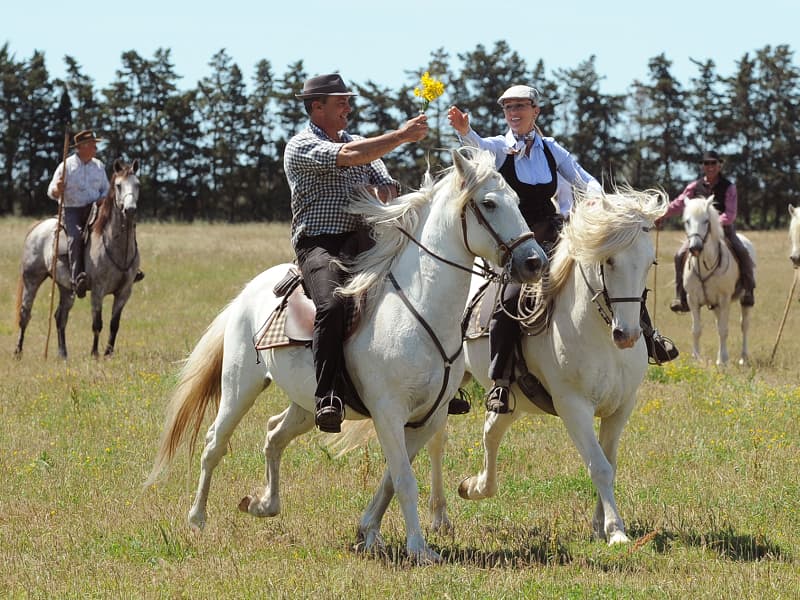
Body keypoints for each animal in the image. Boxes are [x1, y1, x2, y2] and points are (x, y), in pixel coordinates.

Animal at [15, 157, 141, 358]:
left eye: (137, 184)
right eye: (119, 185)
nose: (130, 210)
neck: (118, 247)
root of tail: (38, 226)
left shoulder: (124, 291)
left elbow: (114, 324)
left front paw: (108, 354)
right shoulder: (98, 290)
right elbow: (97, 323)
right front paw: (95, 354)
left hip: (66, 288)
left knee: (60, 317)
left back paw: (63, 354)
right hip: (32, 279)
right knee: (25, 314)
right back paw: (18, 352)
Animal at [147, 150, 548, 564]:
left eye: (518, 200)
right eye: (489, 203)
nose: (535, 262)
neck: (418, 310)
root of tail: (248, 291)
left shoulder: (428, 417)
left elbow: (391, 480)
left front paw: (368, 531)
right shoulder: (389, 413)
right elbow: (404, 480)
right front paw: (418, 548)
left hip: (307, 404)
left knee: (274, 434)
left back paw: (262, 504)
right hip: (239, 387)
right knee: (215, 442)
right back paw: (197, 519)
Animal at [680, 197, 756, 366]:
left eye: (706, 221)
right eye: (687, 221)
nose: (695, 247)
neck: (705, 265)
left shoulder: (724, 299)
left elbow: (723, 330)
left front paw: (723, 361)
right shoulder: (692, 299)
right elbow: (696, 330)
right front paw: (696, 359)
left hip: (744, 300)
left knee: (745, 325)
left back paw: (743, 358)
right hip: (715, 305)